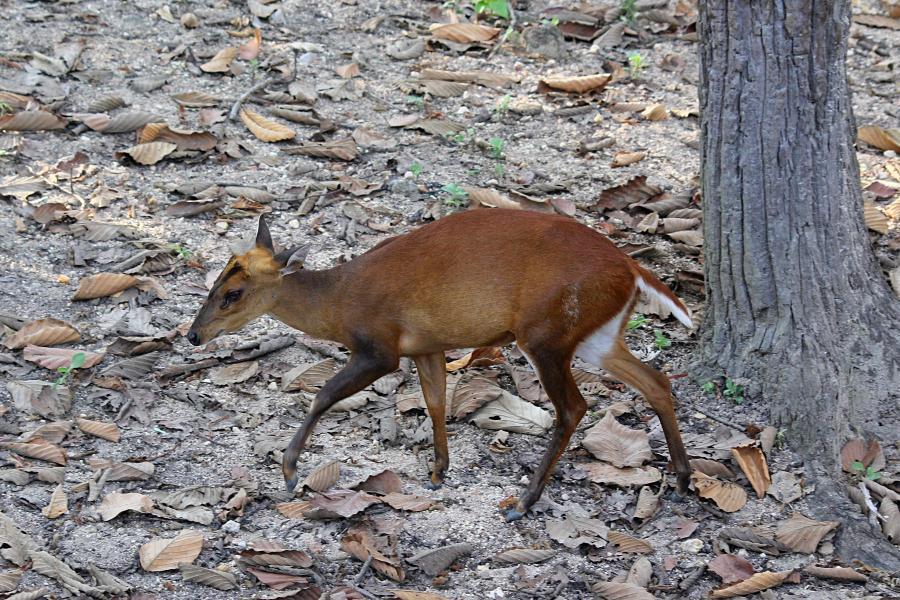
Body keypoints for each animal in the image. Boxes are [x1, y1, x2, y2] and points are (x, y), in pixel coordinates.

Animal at [190, 209, 692, 516]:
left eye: (233, 293)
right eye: (215, 282)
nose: (193, 335)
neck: (337, 300)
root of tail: (632, 268)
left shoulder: (380, 348)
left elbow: (323, 395)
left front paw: (291, 471)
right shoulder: (427, 347)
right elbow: (435, 402)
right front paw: (437, 471)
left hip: (545, 333)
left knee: (574, 407)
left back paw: (522, 502)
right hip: (595, 336)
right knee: (656, 380)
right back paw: (684, 478)